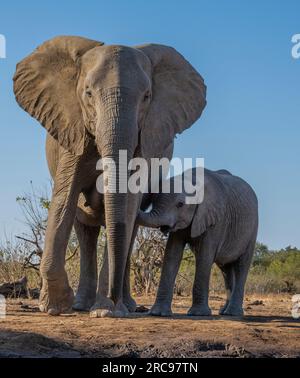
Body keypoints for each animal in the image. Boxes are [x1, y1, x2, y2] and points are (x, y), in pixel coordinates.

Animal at [13, 36, 206, 316]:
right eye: (88, 93)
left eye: (147, 97)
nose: (114, 300)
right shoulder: (73, 131)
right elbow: (64, 200)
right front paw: (56, 308)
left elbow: (127, 205)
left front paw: (107, 311)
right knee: (85, 231)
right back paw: (82, 305)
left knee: (129, 229)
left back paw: (125, 305)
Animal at [138, 168, 258, 316]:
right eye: (154, 200)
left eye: (180, 205)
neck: (192, 180)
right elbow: (172, 255)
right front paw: (158, 313)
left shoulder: (216, 220)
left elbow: (204, 257)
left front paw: (198, 313)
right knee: (226, 269)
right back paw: (223, 312)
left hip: (252, 230)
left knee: (241, 266)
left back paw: (233, 313)